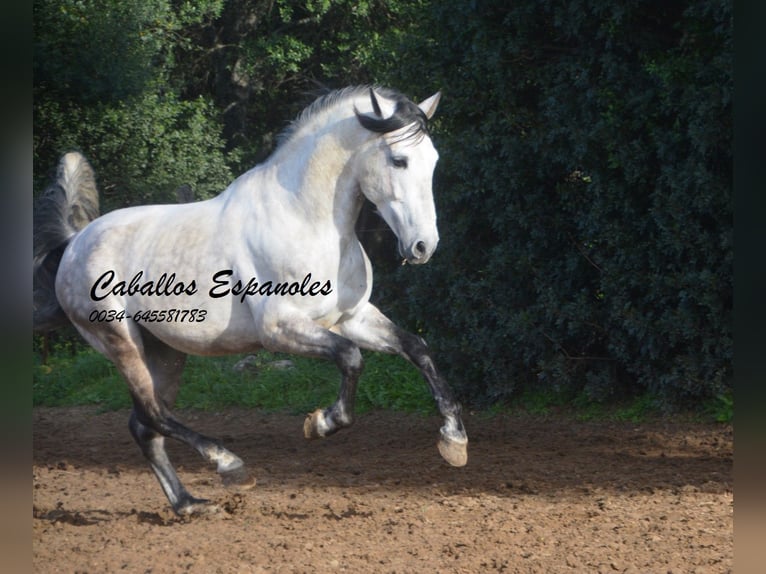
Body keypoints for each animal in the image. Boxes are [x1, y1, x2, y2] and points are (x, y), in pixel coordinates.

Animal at [33, 85, 468, 516]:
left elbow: (417, 348)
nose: (423, 246)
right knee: (154, 415)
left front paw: (454, 441)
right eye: (399, 160)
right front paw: (321, 423)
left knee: (145, 425)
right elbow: (350, 357)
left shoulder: (352, 317)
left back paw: (189, 505)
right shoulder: (279, 329)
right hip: (121, 341)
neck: (306, 221)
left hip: (165, 351)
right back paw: (229, 466)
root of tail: (75, 242)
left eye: (433, 161)